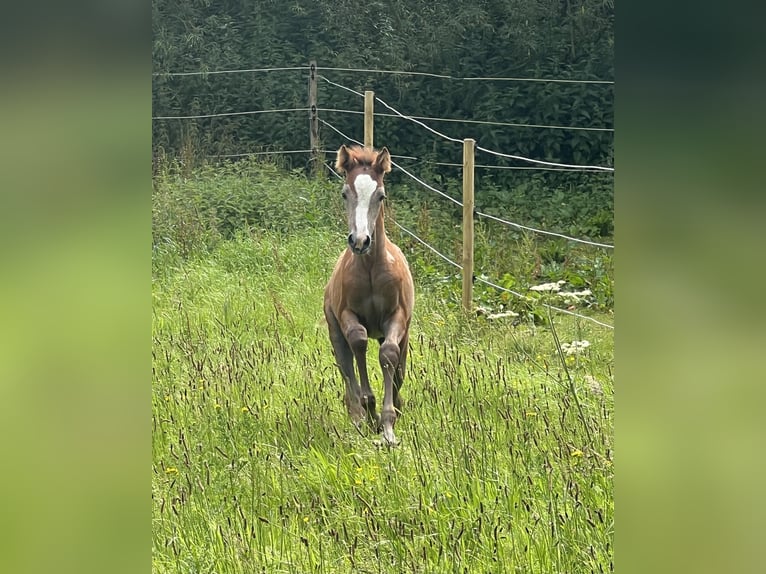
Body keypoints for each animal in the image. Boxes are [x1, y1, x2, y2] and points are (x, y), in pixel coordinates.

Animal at [326, 146, 416, 448]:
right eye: (345, 193)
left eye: (381, 195)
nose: (360, 241)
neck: (370, 269)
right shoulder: (347, 315)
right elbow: (358, 341)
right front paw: (370, 408)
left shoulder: (397, 317)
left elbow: (388, 354)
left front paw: (388, 426)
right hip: (334, 331)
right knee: (346, 364)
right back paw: (357, 414)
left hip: (406, 335)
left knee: (399, 368)